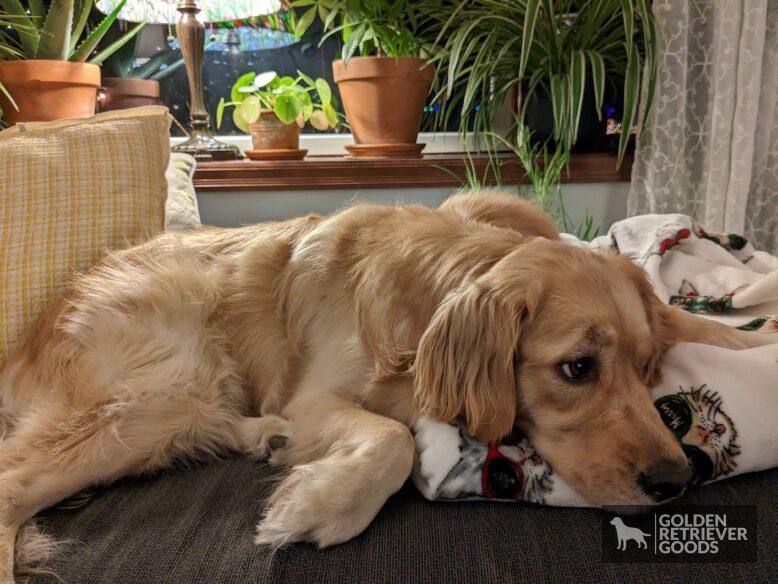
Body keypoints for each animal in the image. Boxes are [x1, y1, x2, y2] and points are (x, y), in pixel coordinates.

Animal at [1, 192, 776, 576]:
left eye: (647, 370)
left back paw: (263, 435)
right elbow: (393, 441)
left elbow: (692, 324)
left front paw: (755, 334)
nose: (677, 481)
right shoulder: (315, 396)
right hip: (163, 387)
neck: (428, 302)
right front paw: (319, 506)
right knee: (13, 485)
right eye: (576, 369)